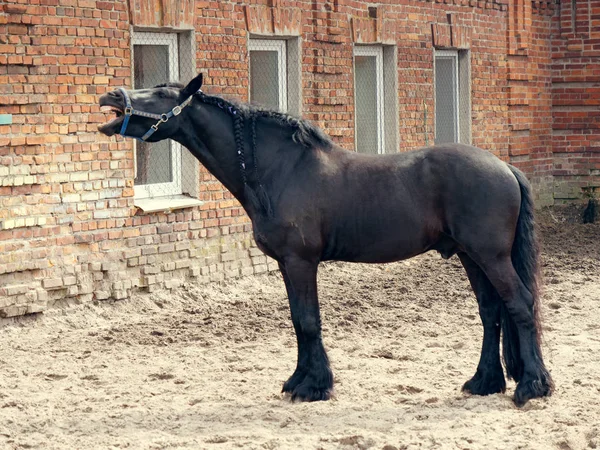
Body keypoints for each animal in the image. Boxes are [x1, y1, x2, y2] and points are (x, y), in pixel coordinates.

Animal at [97, 74, 552, 408]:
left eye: (160, 93)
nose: (111, 95)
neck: (279, 169)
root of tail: (505, 167)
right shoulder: (286, 263)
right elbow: (298, 321)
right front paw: (301, 379)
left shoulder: (301, 261)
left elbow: (308, 320)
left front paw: (313, 386)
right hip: (470, 256)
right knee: (491, 312)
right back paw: (484, 381)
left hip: (490, 256)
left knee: (519, 304)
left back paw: (531, 387)